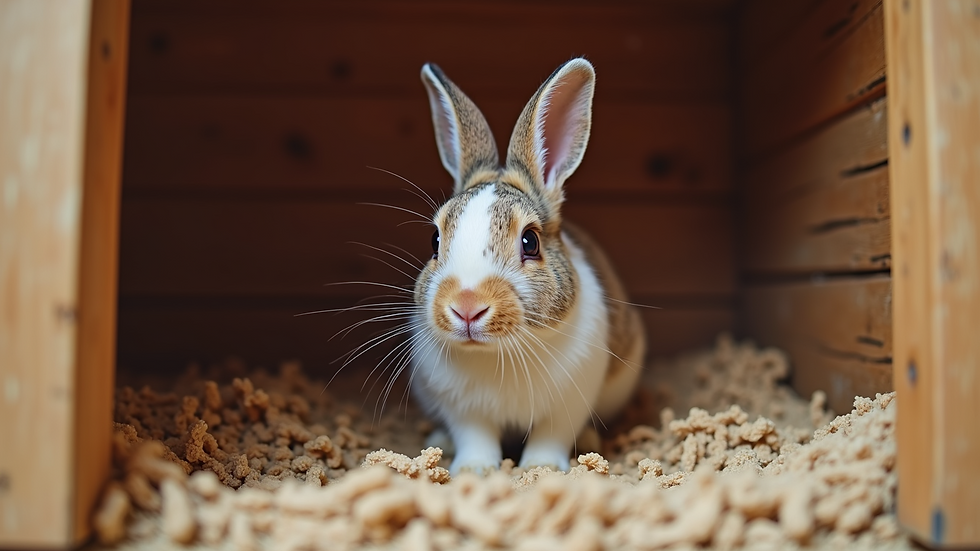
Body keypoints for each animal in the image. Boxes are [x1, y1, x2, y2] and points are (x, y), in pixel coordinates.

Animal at [410, 58, 646, 474]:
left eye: (530, 242)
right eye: (435, 241)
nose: (467, 307)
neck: (497, 353)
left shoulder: (568, 404)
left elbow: (550, 436)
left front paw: (542, 468)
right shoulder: (463, 411)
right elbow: (475, 438)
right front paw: (474, 469)